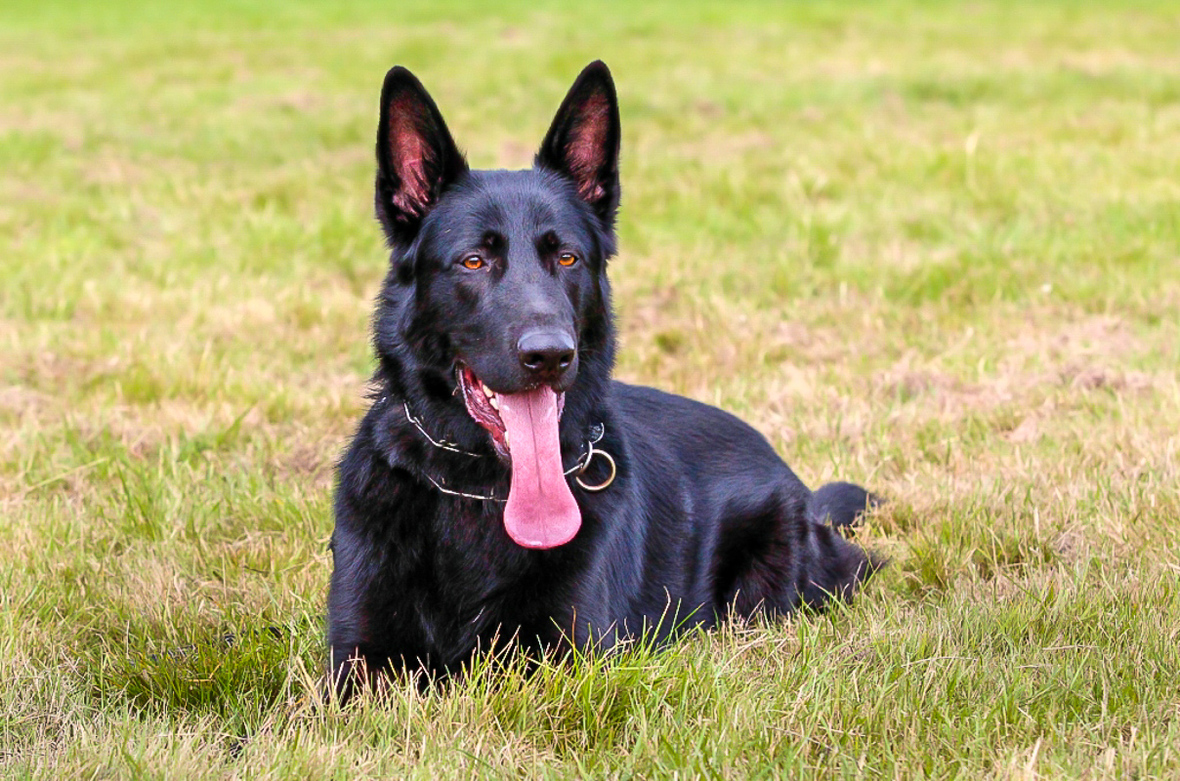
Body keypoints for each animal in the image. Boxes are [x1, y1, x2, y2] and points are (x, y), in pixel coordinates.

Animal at [328, 61, 877, 695]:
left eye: (567, 258)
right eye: (474, 261)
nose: (549, 355)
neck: (480, 491)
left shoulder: (563, 661)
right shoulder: (353, 669)